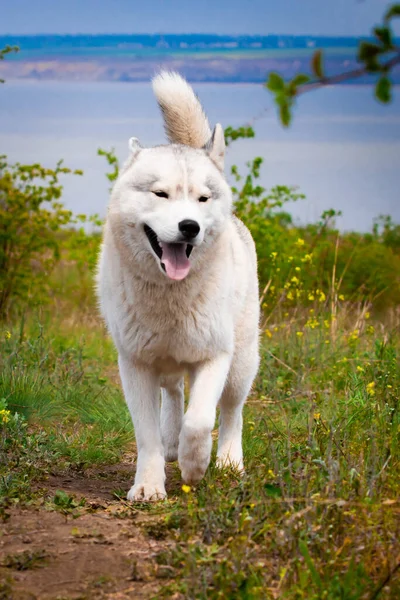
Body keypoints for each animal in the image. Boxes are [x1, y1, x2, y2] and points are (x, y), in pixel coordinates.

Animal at [97, 71, 260, 502]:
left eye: (202, 198)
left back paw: (229, 462)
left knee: (232, 412)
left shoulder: (215, 356)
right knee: (173, 394)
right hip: (167, 365)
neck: (170, 297)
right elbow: (147, 435)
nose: (190, 227)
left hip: (241, 363)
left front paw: (195, 465)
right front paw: (149, 485)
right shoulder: (134, 365)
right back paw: (172, 443)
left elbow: (201, 420)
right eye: (160, 193)